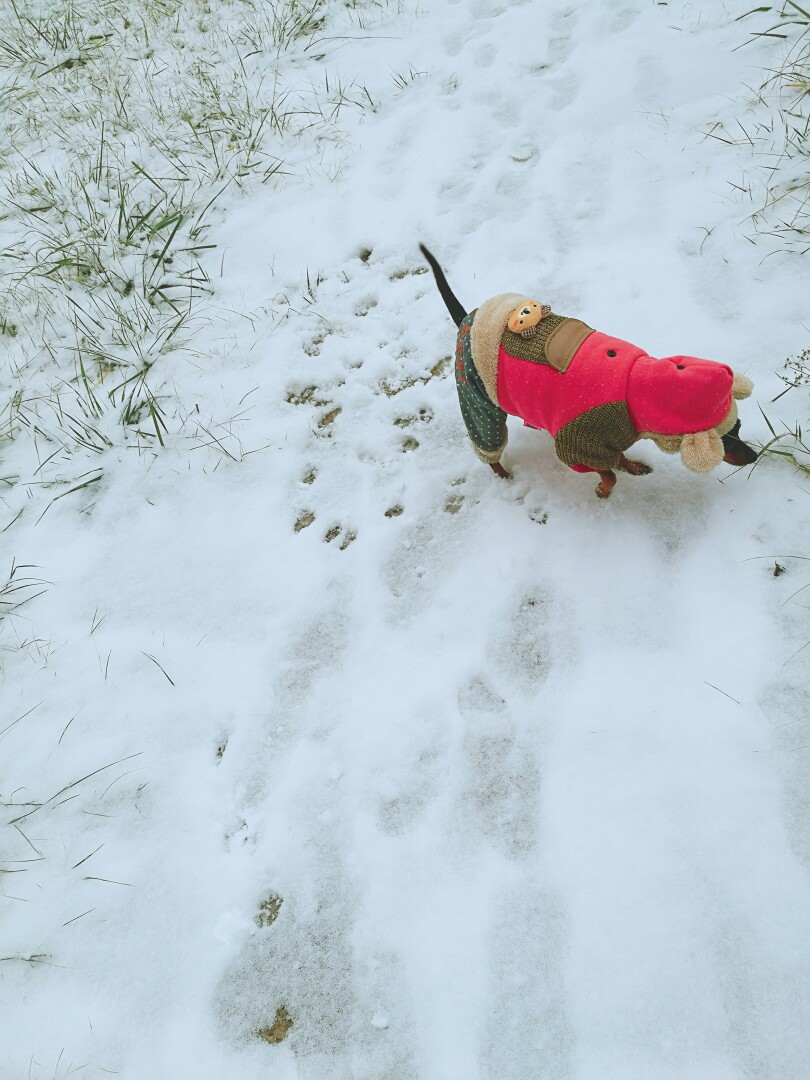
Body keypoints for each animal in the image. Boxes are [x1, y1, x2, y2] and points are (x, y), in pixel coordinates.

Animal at [421, 245, 760, 496]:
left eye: (739, 427)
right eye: (727, 440)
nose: (755, 457)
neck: (634, 385)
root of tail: (468, 319)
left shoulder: (611, 437)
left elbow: (618, 456)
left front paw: (631, 465)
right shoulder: (577, 445)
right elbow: (608, 473)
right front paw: (605, 489)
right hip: (477, 399)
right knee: (488, 443)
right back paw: (502, 473)